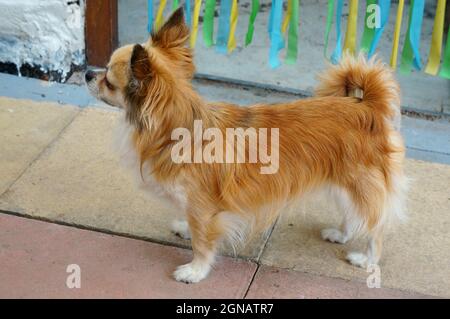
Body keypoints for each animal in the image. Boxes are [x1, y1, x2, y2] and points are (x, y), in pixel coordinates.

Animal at [87, 7, 408, 284]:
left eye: (108, 80)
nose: (89, 73)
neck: (179, 130)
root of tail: (367, 106)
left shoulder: (204, 209)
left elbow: (202, 242)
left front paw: (195, 271)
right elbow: (192, 226)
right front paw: (184, 229)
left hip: (360, 184)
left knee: (376, 227)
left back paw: (367, 260)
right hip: (344, 184)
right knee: (355, 214)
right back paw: (341, 234)